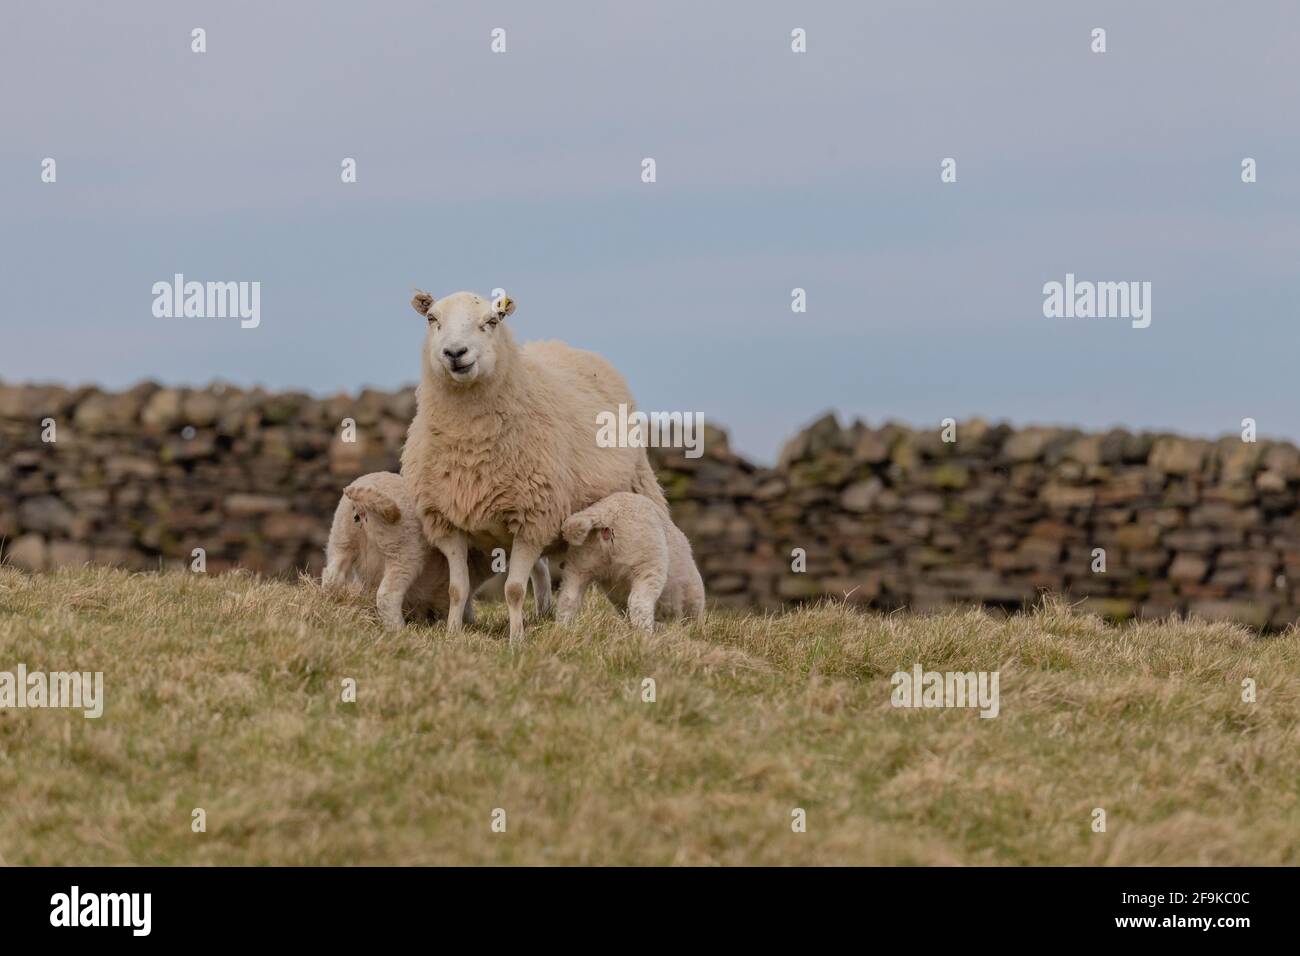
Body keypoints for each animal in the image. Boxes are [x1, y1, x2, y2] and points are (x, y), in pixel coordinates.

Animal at [322, 471, 551, 631]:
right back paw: (400, 630)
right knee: (388, 595)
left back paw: (331, 606)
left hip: (341, 539)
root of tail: (364, 499)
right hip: (403, 550)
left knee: (332, 575)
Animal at [400, 289, 668, 643]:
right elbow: (458, 589)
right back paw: (543, 611)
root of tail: (563, 346)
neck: (469, 444)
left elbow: (513, 589)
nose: (455, 353)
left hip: (637, 486)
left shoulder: (532, 518)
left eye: (491, 321)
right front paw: (453, 635)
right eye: (432, 318)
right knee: (540, 569)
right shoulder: (446, 521)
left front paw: (516, 640)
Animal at [558, 491, 705, 631]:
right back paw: (644, 634)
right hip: (647, 560)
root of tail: (606, 513)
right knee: (639, 603)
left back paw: (564, 628)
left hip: (580, 562)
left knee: (568, 598)